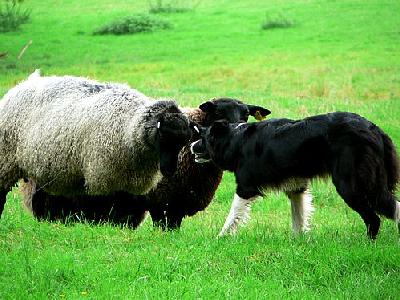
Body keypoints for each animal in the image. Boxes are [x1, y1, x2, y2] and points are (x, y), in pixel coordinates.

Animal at [0, 70, 194, 218]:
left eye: (181, 144)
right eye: (164, 139)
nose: (170, 170)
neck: (129, 128)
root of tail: (22, 84)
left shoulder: (130, 186)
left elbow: (127, 209)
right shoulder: (101, 178)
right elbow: (103, 208)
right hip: (5, 160)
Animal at [19, 97, 272, 229]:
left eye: (246, 114)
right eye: (219, 113)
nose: (240, 130)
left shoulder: (174, 207)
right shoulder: (163, 205)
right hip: (52, 202)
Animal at [191, 110, 400, 239]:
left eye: (203, 139)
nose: (191, 147)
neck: (235, 139)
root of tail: (376, 130)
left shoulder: (245, 187)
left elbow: (232, 215)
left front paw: (220, 238)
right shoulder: (296, 188)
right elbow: (298, 218)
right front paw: (299, 242)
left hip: (351, 184)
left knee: (374, 218)